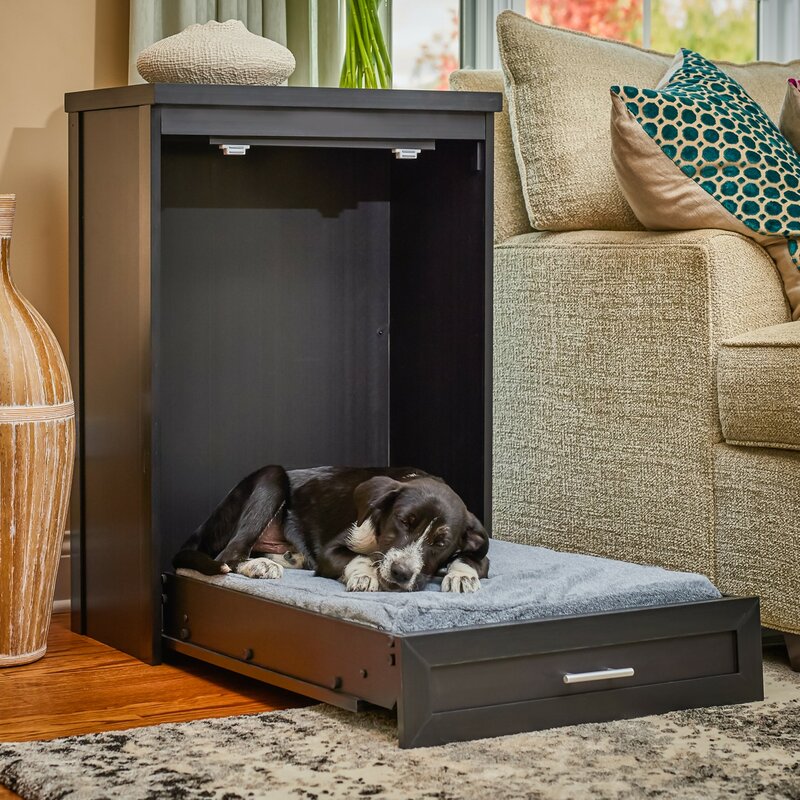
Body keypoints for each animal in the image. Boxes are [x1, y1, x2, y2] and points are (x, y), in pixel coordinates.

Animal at [174, 462, 488, 592]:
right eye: (403, 521)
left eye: (440, 543)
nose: (401, 573)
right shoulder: (330, 551)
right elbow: (358, 557)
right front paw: (364, 575)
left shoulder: (480, 551)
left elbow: (473, 558)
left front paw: (462, 576)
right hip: (271, 477)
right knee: (229, 554)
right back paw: (260, 566)